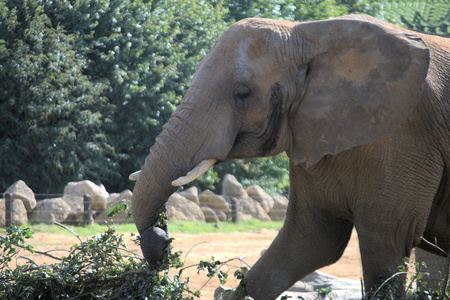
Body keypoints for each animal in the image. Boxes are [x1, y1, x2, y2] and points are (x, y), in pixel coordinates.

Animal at [130, 14, 450, 300]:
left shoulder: (407, 135)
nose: (163, 239)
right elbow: (311, 239)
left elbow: (385, 239)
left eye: (243, 93)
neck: (310, 35)